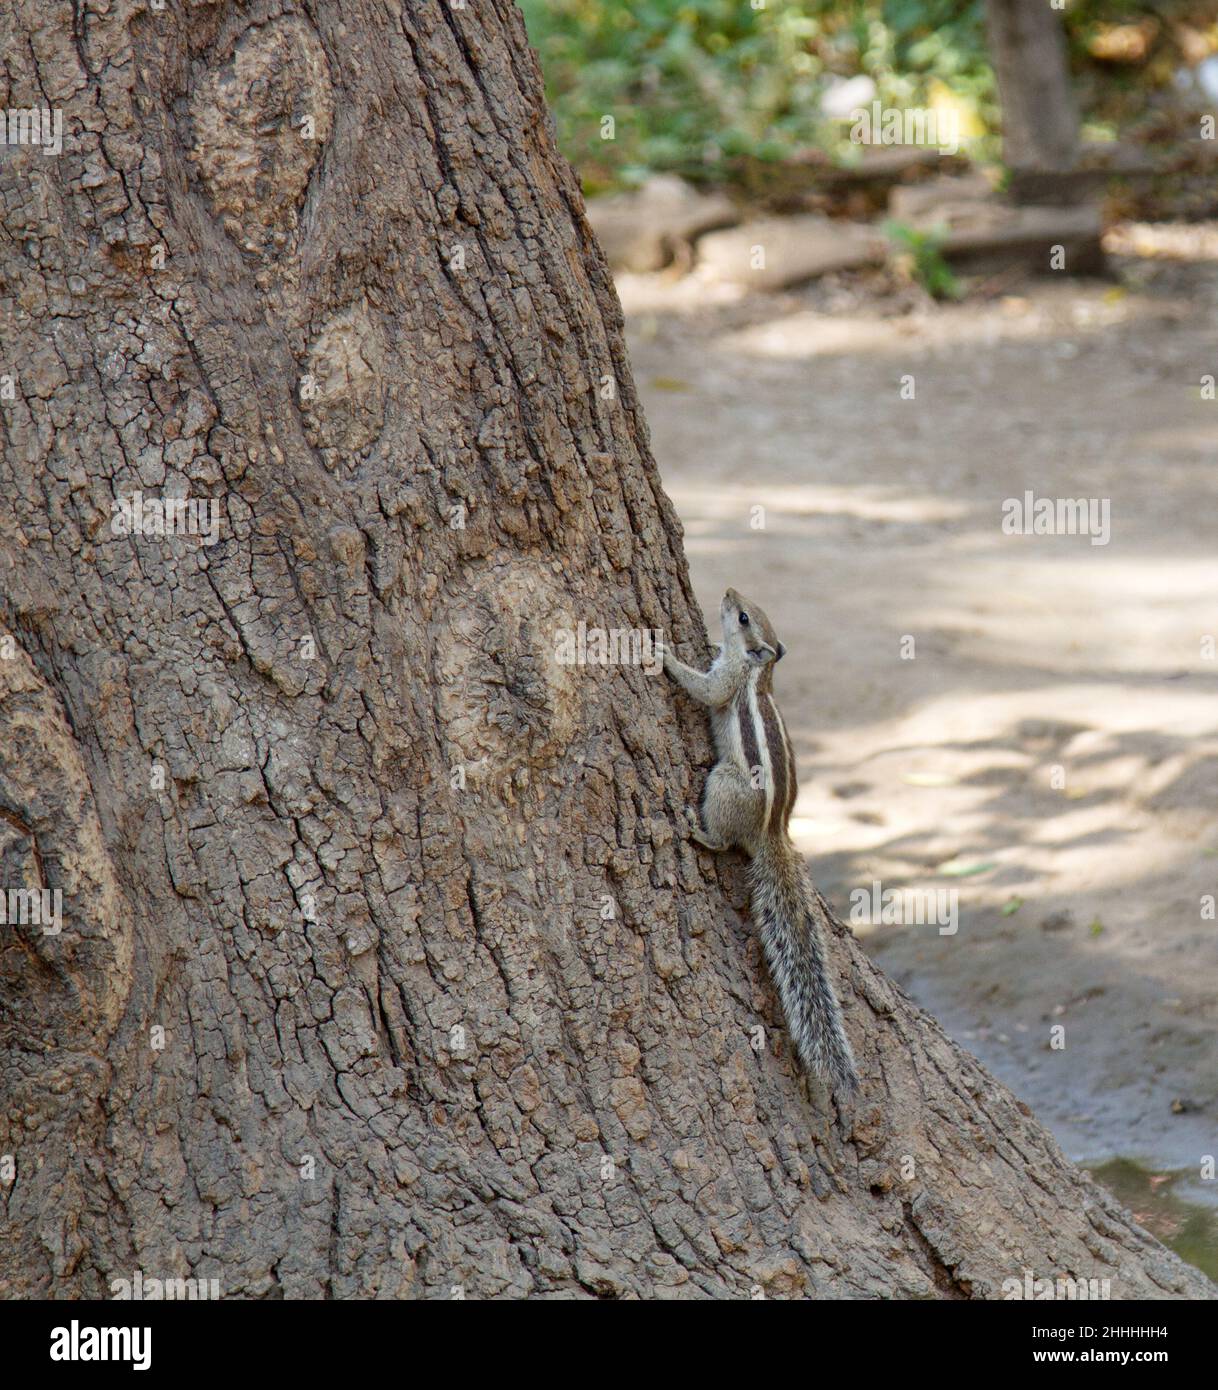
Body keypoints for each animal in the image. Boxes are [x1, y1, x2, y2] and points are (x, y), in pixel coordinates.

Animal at [660, 589, 859, 1101]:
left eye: (744, 616)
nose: (729, 592)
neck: (758, 670)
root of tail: (772, 834)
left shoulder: (726, 681)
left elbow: (707, 690)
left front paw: (663, 653)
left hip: (724, 782)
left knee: (722, 839)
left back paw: (697, 830)